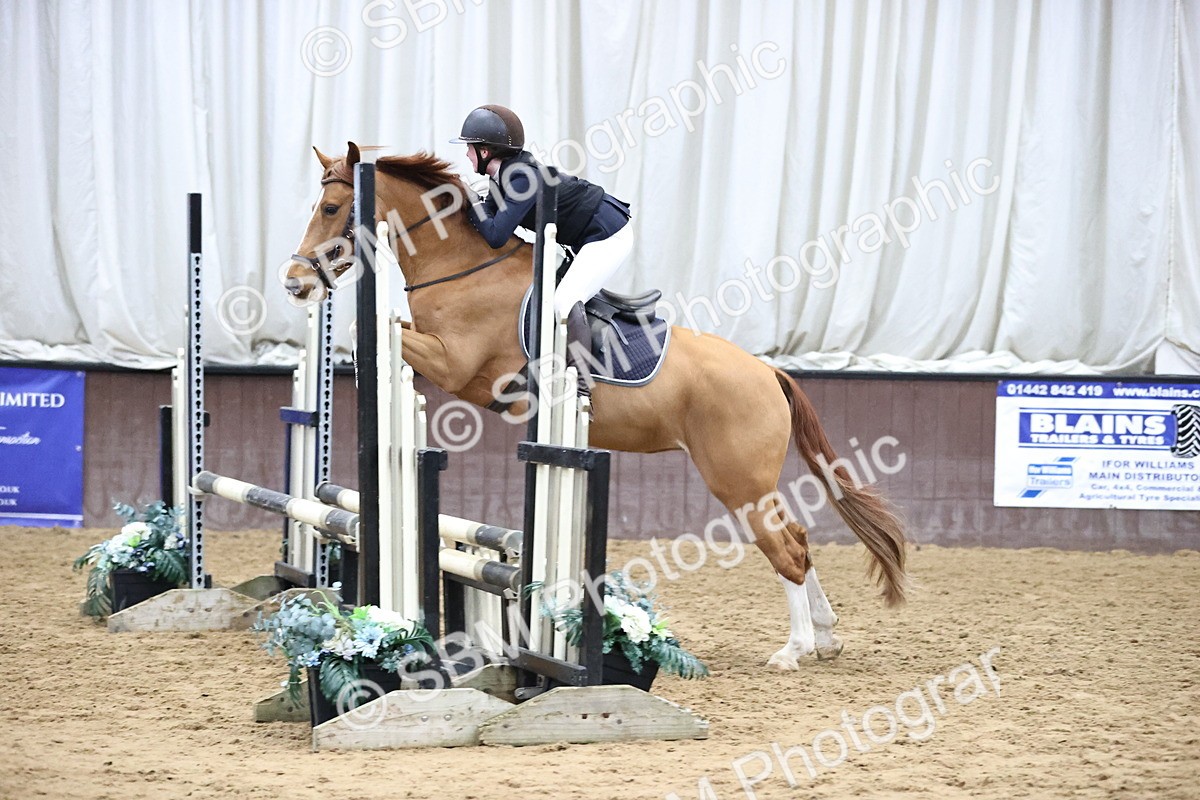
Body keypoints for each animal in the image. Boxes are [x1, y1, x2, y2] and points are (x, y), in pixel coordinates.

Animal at [284, 143, 909, 671]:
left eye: (333, 207)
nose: (295, 285)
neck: (460, 267)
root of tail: (769, 373)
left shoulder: (456, 364)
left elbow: (378, 340)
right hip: (749, 479)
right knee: (797, 537)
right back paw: (825, 637)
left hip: (738, 478)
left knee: (785, 548)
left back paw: (794, 649)